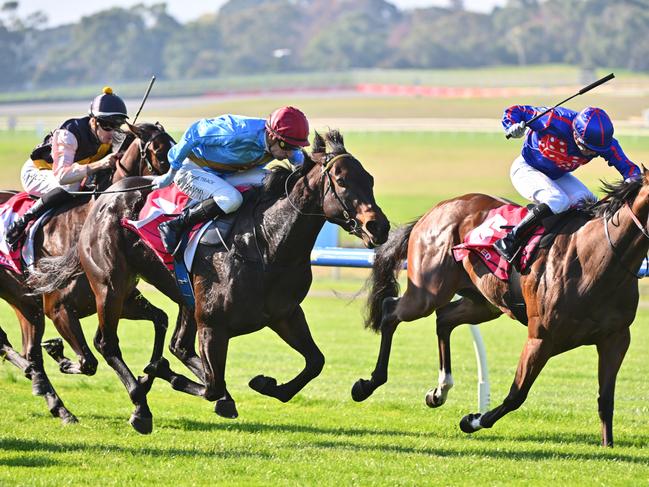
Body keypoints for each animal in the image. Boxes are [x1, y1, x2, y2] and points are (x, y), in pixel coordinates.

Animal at [0, 124, 173, 426]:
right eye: (159, 151)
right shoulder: (59, 308)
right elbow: (89, 362)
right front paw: (61, 354)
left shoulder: (120, 299)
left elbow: (160, 319)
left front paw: (147, 376)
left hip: (25, 304)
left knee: (29, 352)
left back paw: (55, 402)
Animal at [33, 130, 388, 434]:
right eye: (341, 181)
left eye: (370, 179)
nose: (379, 227)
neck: (268, 244)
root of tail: (103, 199)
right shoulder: (213, 326)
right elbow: (213, 385)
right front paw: (169, 378)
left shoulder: (284, 314)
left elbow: (315, 362)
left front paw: (268, 384)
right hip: (111, 285)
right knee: (107, 343)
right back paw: (140, 406)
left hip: (180, 294)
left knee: (177, 344)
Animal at [352, 173, 648, 448]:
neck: (596, 259)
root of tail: (434, 210)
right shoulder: (541, 337)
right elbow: (517, 395)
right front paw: (473, 420)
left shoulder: (615, 339)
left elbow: (606, 398)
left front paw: (608, 446)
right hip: (427, 293)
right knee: (391, 311)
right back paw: (367, 385)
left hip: (483, 302)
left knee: (444, 319)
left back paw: (440, 390)